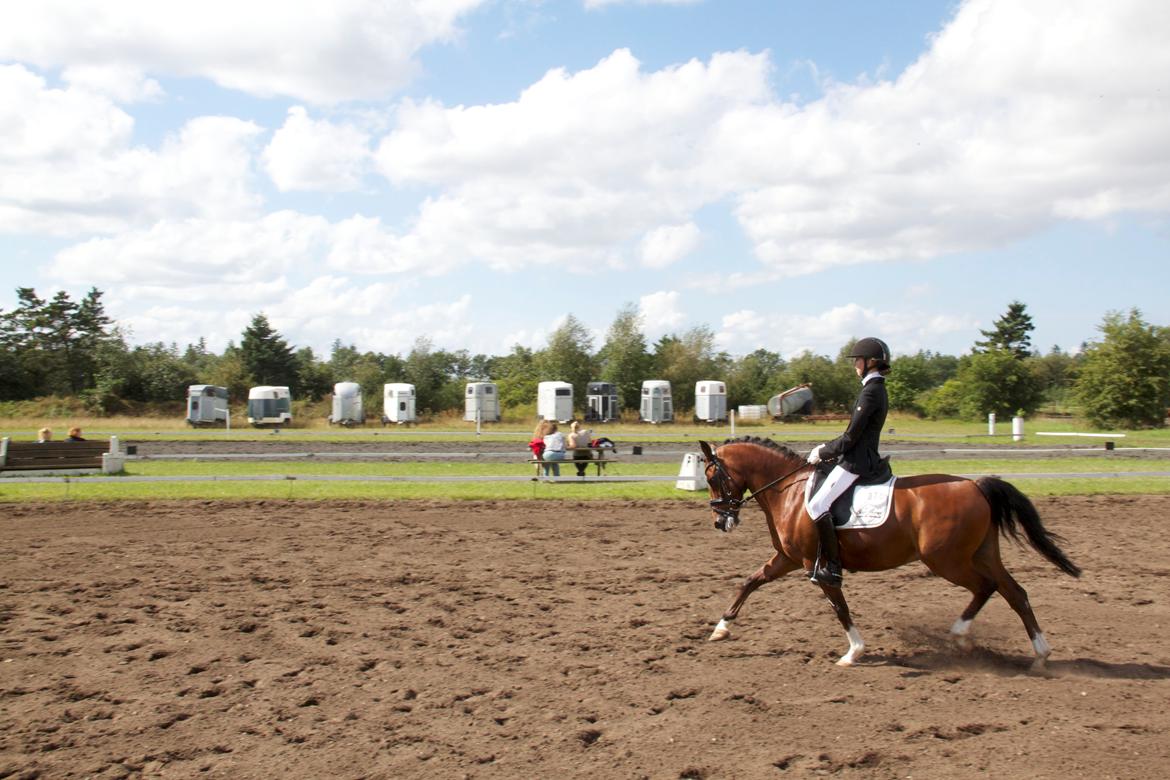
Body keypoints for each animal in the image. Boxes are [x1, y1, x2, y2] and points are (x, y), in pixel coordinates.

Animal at [692, 439, 1076, 673]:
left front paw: (853, 652)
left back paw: (961, 635)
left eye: (711, 477)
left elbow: (839, 606)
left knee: (987, 587)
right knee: (1014, 592)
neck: (789, 491)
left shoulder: (814, 565)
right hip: (981, 554)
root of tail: (974, 484)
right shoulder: (786, 559)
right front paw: (721, 628)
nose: (720, 521)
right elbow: (750, 581)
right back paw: (1038, 655)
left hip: (947, 560)